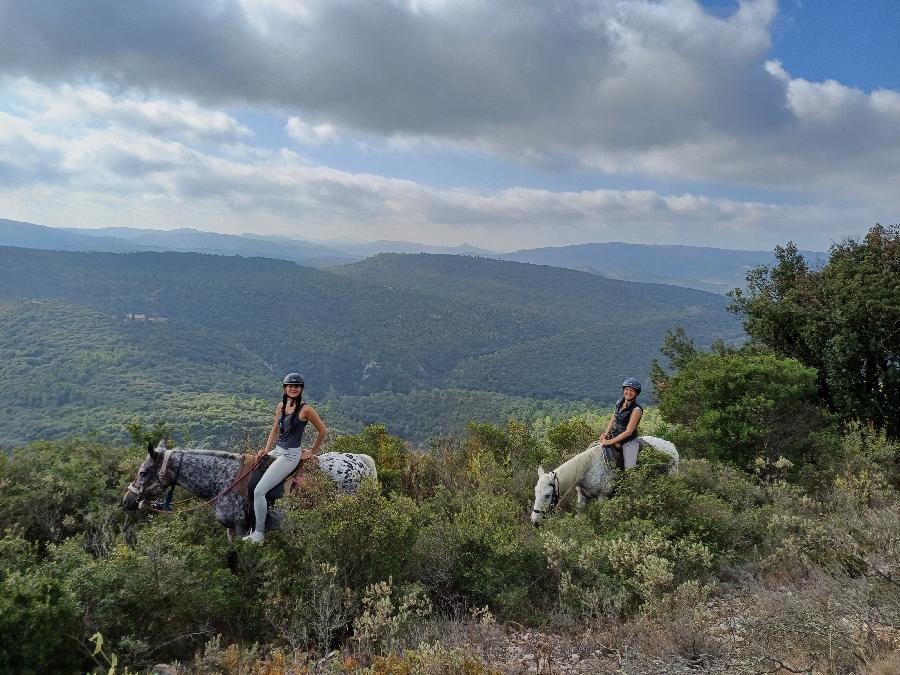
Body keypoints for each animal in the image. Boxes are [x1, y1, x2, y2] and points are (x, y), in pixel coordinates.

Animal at [125, 440, 378, 540]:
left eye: (143, 472)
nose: (127, 500)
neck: (223, 478)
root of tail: (359, 462)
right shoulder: (230, 528)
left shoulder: (240, 526)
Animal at [528, 438, 676, 528]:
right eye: (535, 493)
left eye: (547, 495)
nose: (534, 521)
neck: (588, 468)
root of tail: (672, 447)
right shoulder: (583, 497)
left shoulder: (603, 497)